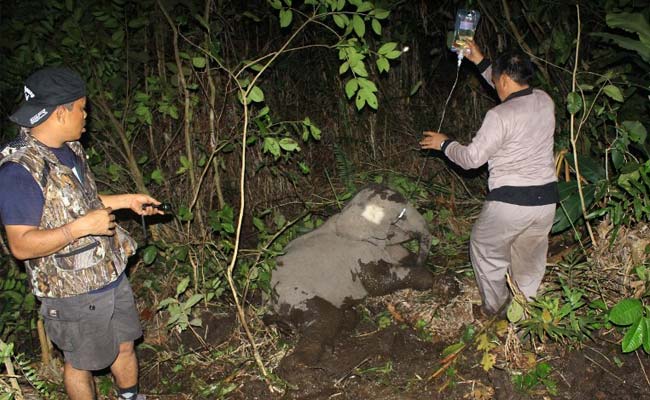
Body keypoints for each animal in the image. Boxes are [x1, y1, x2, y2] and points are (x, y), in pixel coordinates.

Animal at [269, 184, 434, 367]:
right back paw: (300, 363)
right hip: (297, 295)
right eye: (401, 216)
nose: (421, 261)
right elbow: (377, 283)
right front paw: (428, 278)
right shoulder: (358, 251)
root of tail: (273, 302)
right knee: (325, 318)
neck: (348, 210)